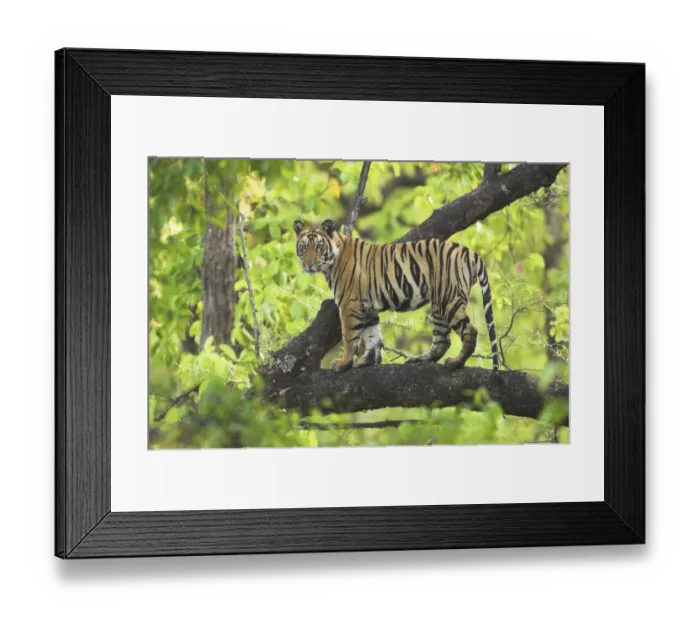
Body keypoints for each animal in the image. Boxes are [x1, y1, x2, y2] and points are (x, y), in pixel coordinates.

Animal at [293, 219, 499, 373]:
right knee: (442, 340)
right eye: (303, 248)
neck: (331, 263)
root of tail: (469, 252)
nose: (308, 264)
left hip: (449, 299)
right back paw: (420, 359)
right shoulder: (367, 307)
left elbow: (350, 337)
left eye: (319, 247)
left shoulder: (349, 305)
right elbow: (372, 336)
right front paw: (367, 360)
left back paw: (456, 362)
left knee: (470, 331)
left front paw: (344, 363)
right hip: (439, 303)